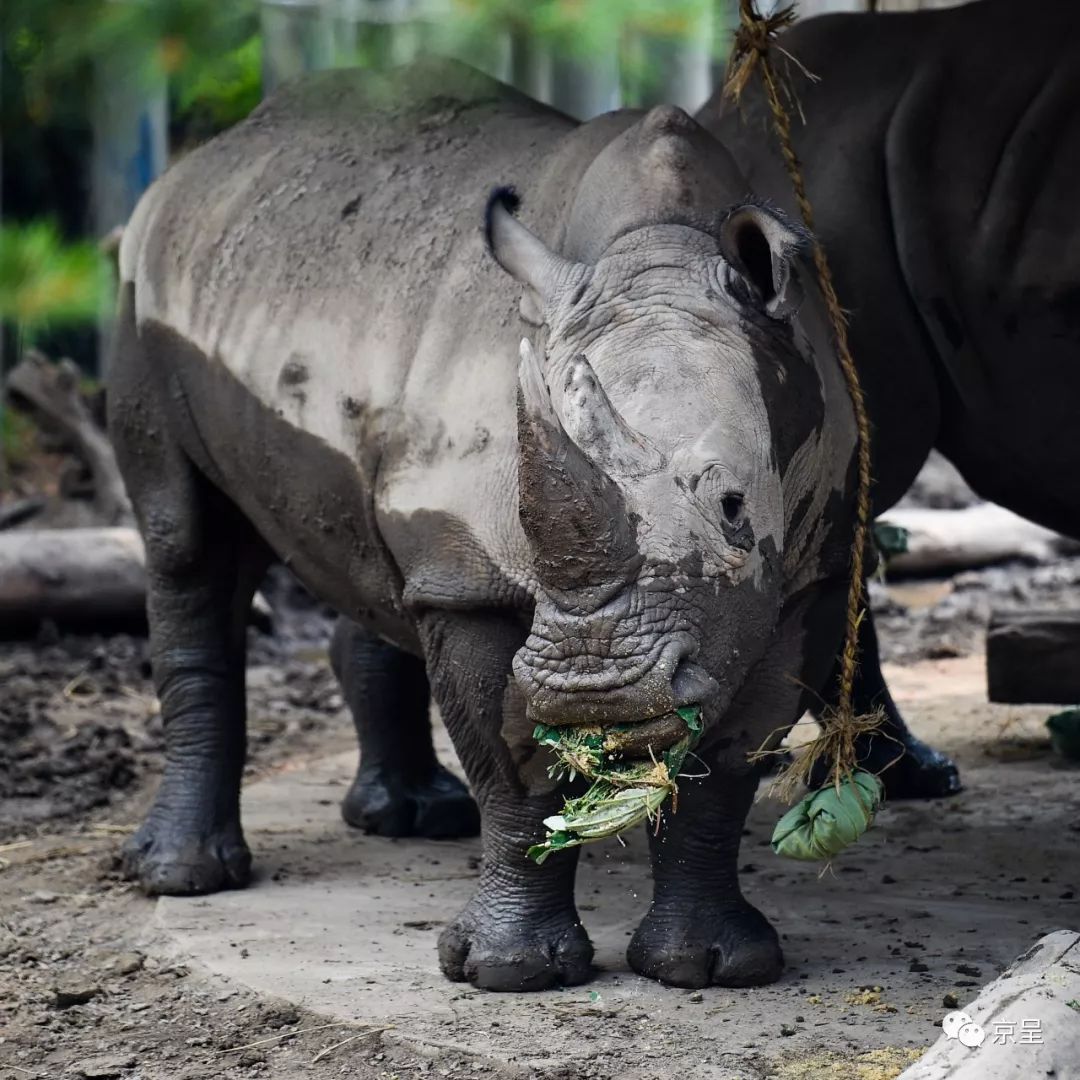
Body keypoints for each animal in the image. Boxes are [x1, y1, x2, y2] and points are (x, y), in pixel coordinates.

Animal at [111, 56, 859, 989]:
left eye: (731, 506)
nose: (598, 690)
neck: (660, 251)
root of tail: (203, 161)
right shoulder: (474, 572)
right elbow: (511, 770)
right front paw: (508, 972)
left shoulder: (809, 572)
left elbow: (725, 771)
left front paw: (713, 965)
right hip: (143, 292)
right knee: (186, 540)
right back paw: (182, 877)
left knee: (371, 560)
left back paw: (409, 818)